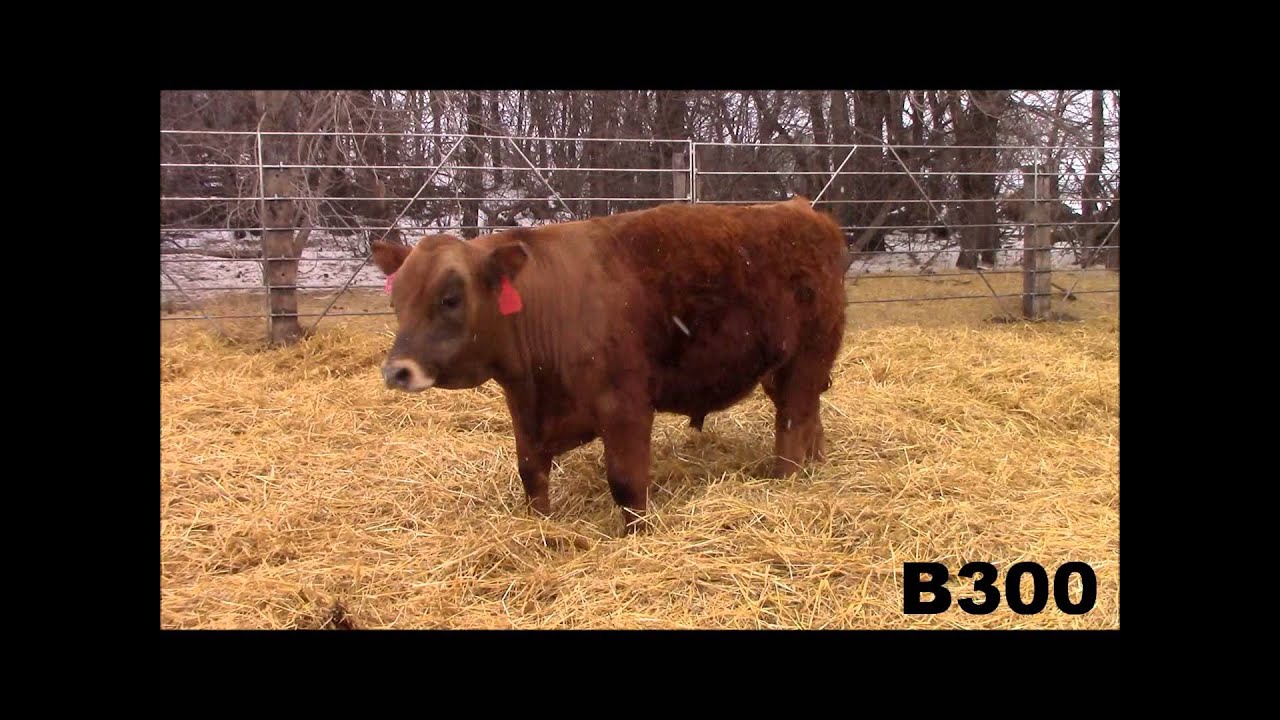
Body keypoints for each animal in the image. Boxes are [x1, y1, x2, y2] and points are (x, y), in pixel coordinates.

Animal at [370, 196, 848, 534]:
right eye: (396, 300)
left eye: (451, 299)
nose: (397, 371)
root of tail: (803, 210)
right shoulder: (525, 412)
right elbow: (531, 475)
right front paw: (541, 528)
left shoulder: (625, 406)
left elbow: (626, 482)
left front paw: (640, 535)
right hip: (783, 370)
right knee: (811, 418)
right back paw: (816, 465)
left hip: (805, 359)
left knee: (792, 425)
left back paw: (786, 481)